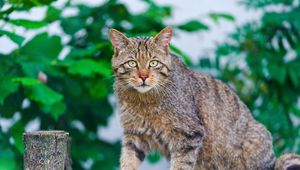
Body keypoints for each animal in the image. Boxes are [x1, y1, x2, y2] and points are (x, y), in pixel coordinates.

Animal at [109, 25, 300, 169]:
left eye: (153, 63)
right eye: (132, 63)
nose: (143, 76)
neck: (143, 101)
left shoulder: (189, 135)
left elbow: (181, 165)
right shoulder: (134, 135)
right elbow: (127, 160)